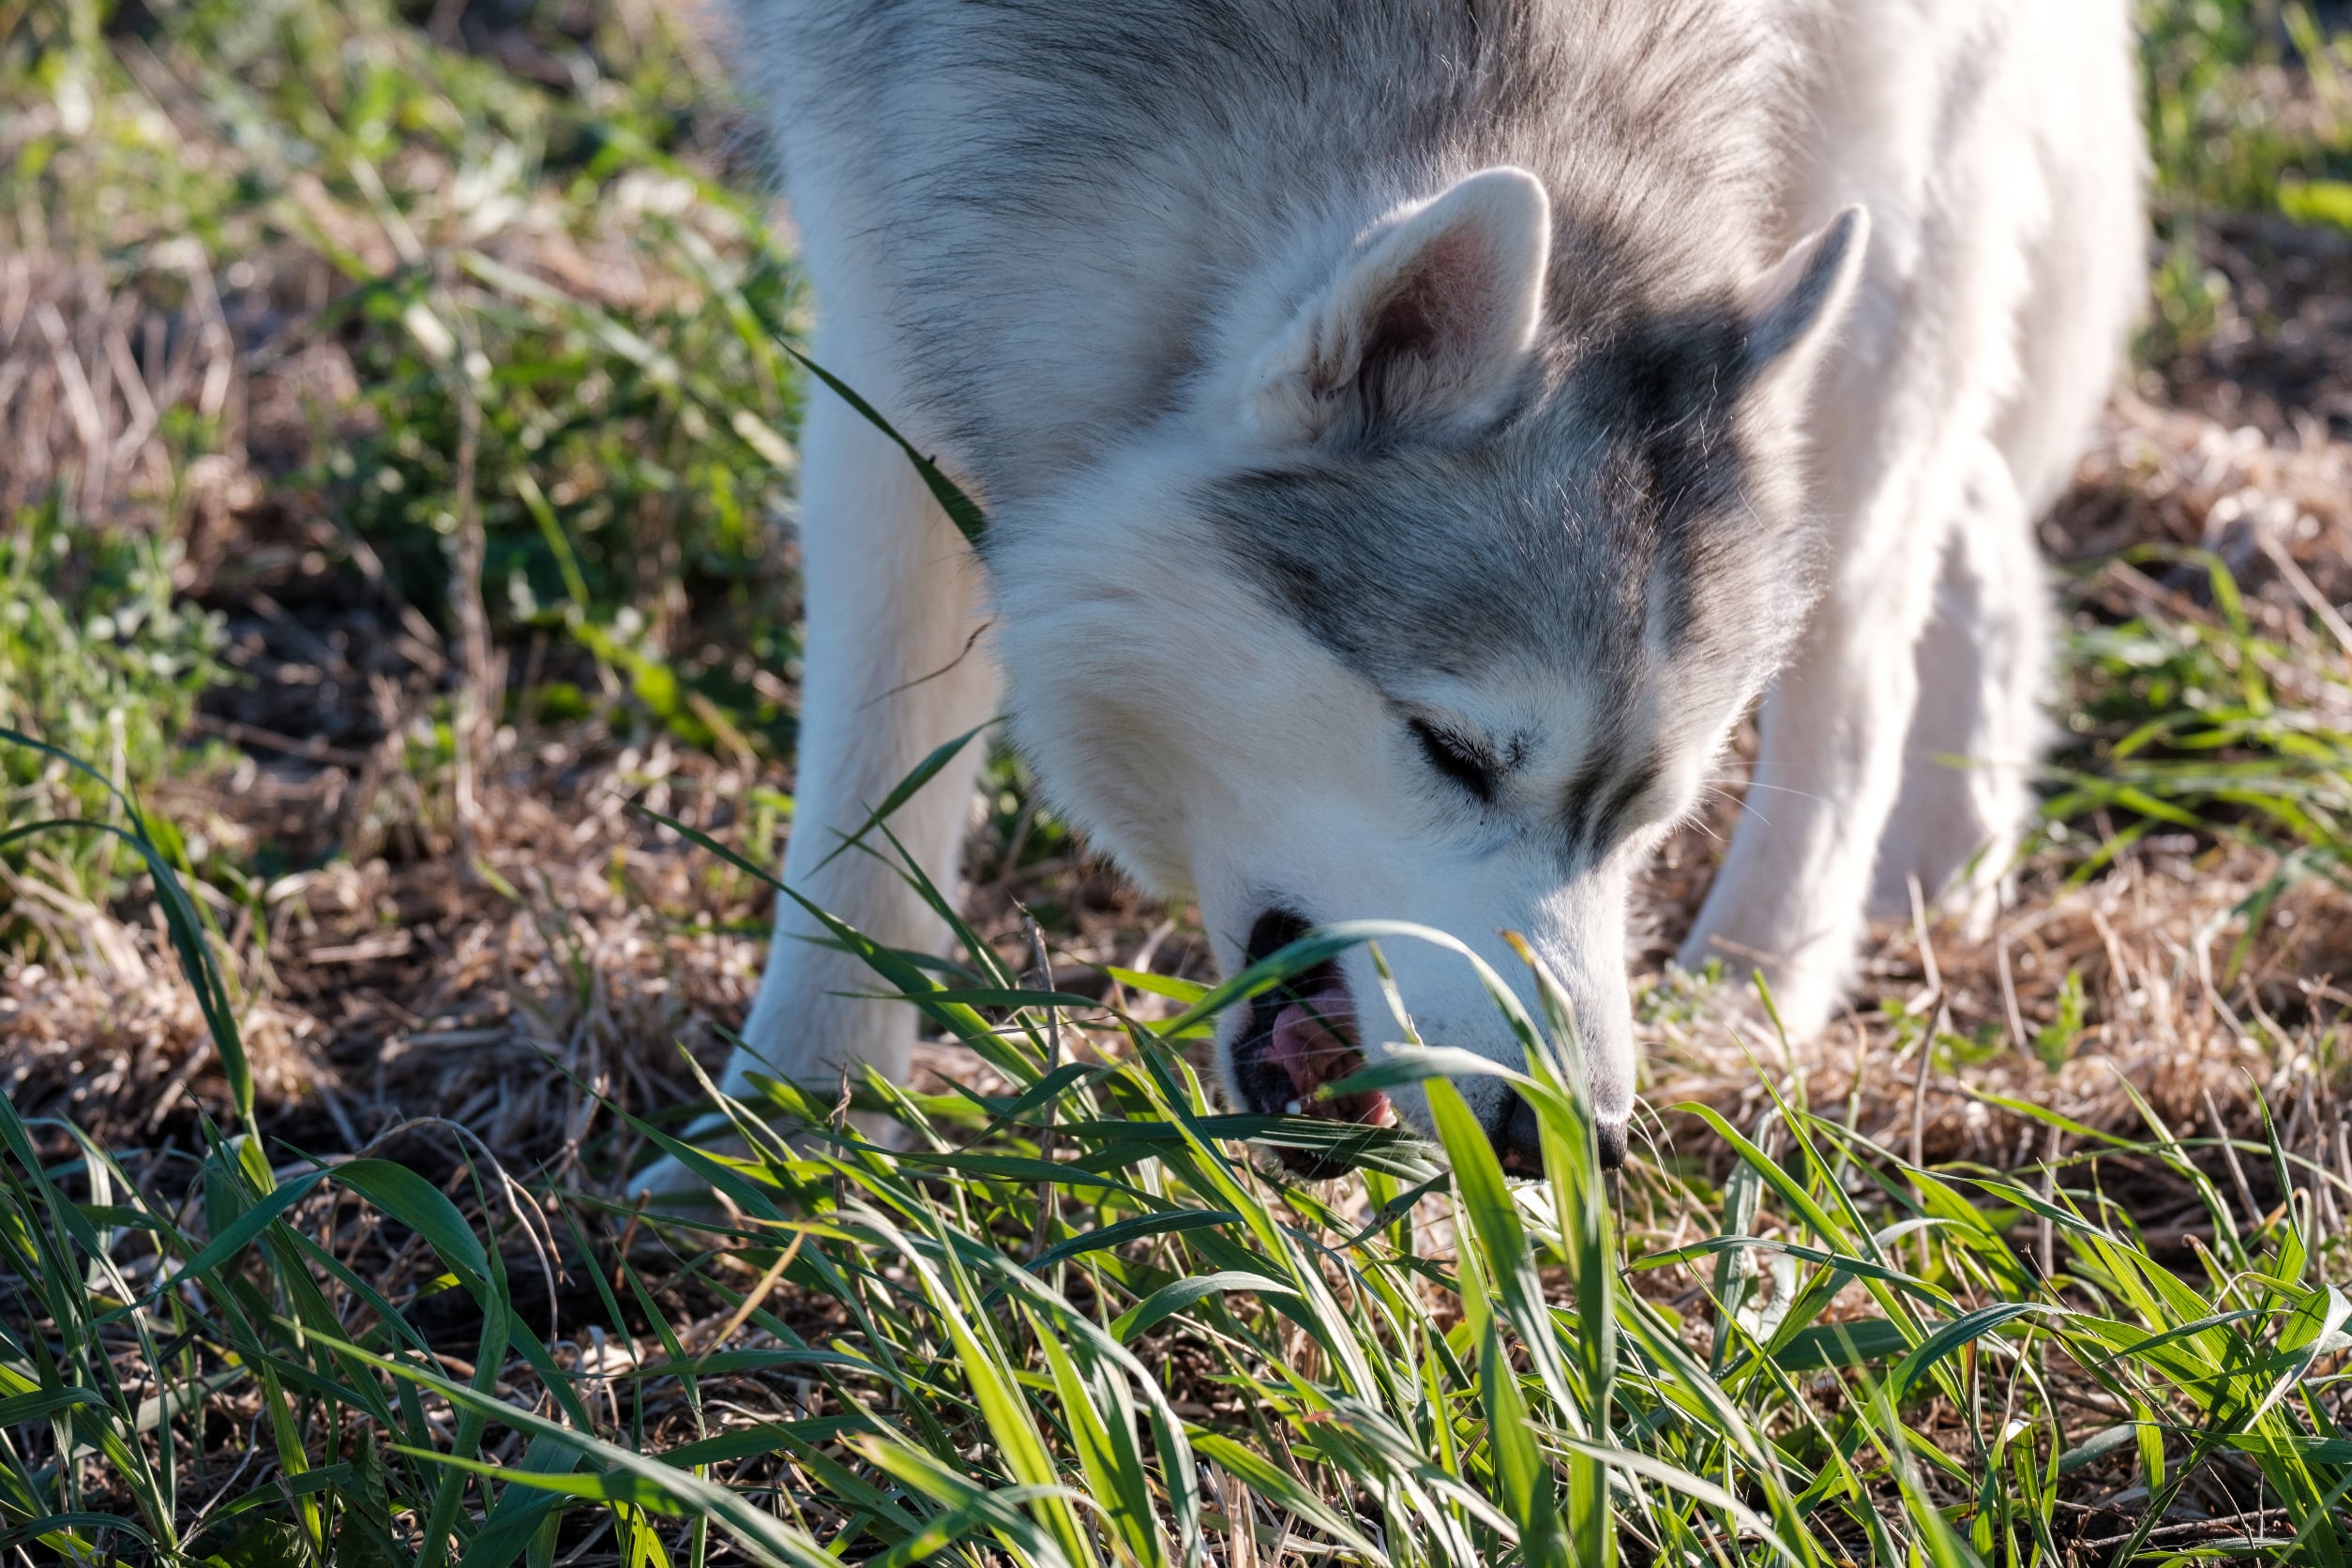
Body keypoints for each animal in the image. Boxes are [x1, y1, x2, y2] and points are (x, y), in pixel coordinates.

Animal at [654, 0, 2145, 1175]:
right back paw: (1947, 857)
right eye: (1452, 751)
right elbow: (865, 802)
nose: (1574, 1143)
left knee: (1868, 628)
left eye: (1654, 807)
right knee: (1966, 515)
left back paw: (1765, 984)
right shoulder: (888, 293)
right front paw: (790, 1144)